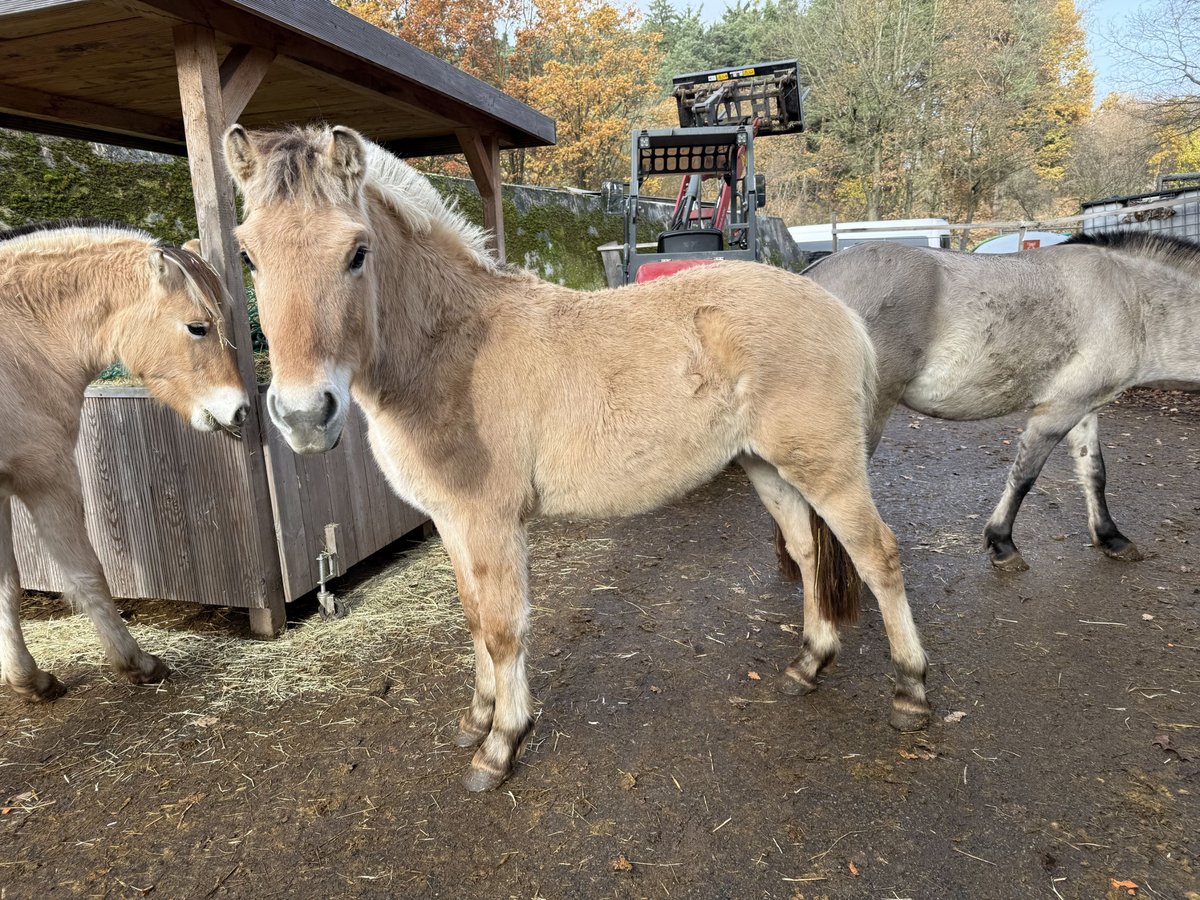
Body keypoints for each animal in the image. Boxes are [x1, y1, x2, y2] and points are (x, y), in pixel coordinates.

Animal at [0, 221, 249, 701]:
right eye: (197, 327)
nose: (240, 410)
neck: (18, 347)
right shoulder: (49, 479)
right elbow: (87, 576)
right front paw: (135, 662)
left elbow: (6, 586)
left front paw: (27, 678)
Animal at [223, 123, 930, 792]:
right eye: (247, 254)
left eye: (357, 252)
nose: (303, 416)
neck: (455, 349)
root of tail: (836, 307)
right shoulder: (452, 522)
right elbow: (474, 618)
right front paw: (477, 718)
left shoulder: (493, 523)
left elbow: (504, 627)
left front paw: (501, 744)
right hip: (769, 467)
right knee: (809, 553)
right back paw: (808, 665)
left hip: (828, 469)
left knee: (879, 557)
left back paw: (910, 691)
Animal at [805, 233, 1200, 571]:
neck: (1130, 298)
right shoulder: (1056, 412)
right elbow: (1024, 477)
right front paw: (1002, 544)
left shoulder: (1084, 407)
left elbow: (1094, 473)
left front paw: (1110, 538)